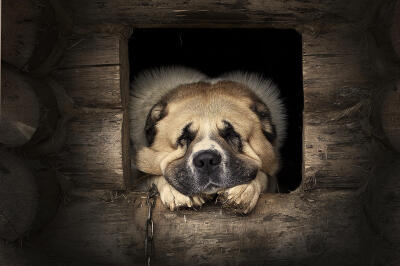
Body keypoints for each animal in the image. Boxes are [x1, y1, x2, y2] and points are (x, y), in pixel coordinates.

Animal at [130, 66, 286, 214]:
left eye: (231, 134)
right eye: (185, 137)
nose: (206, 160)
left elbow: (263, 175)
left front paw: (244, 189)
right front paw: (175, 191)